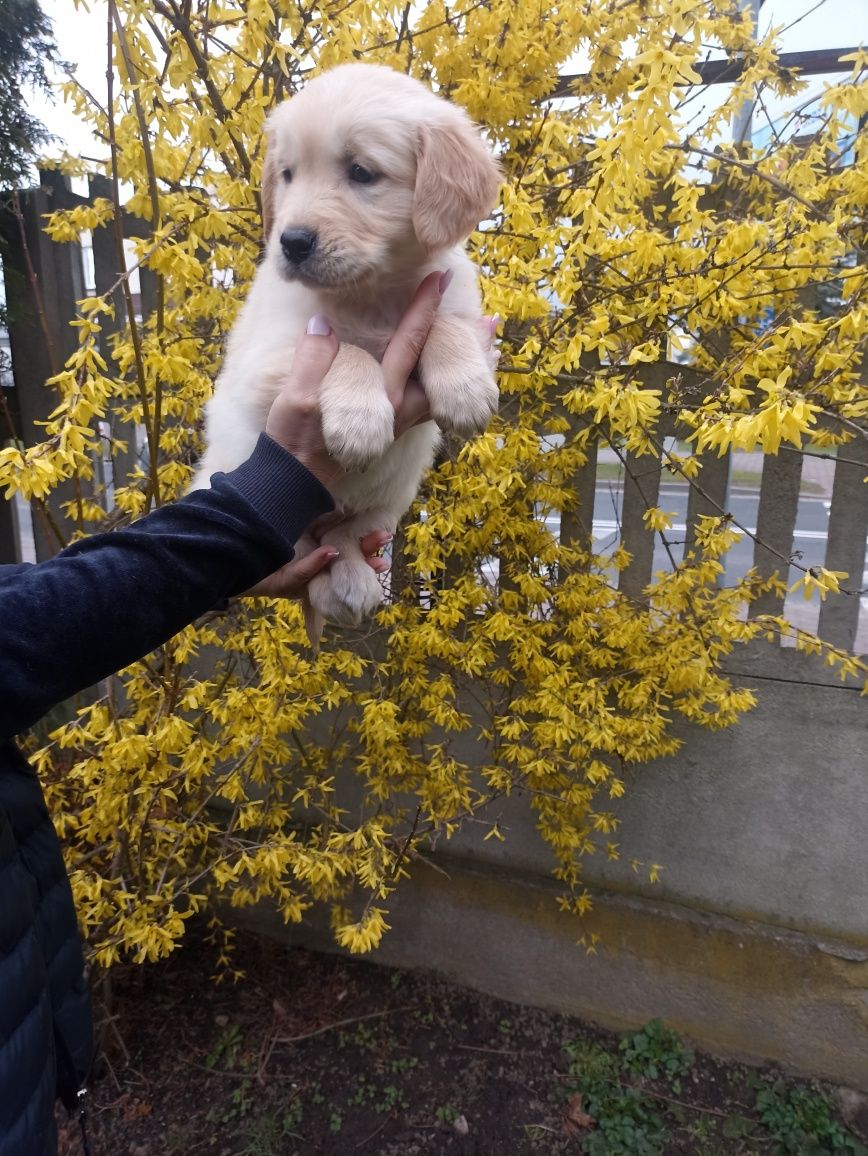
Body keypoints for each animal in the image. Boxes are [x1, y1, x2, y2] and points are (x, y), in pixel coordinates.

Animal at [193, 62, 499, 638]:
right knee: (306, 553)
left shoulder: (460, 304)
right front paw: (360, 420)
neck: (371, 292)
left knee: (341, 538)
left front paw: (466, 388)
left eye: (361, 172)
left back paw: (354, 583)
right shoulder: (269, 357)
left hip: (389, 501)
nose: (291, 242)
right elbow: (347, 349)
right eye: (288, 174)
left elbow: (445, 323)